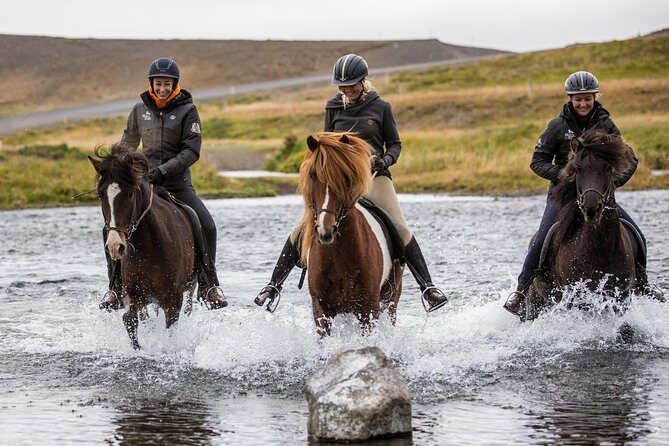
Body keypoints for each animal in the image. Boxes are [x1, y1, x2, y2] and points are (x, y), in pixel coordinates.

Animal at [88, 144, 198, 349]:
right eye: (100, 195)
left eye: (131, 193)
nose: (115, 246)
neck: (150, 246)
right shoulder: (134, 295)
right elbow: (130, 320)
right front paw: (138, 348)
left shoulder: (173, 300)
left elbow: (171, 331)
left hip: (189, 288)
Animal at [298, 132, 404, 336]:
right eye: (312, 175)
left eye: (344, 176)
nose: (326, 230)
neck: (339, 254)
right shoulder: (320, 308)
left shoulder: (369, 308)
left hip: (391, 300)